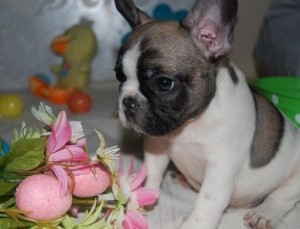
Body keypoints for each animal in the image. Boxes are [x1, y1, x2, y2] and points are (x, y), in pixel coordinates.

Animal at [113, 0, 300, 227]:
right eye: (120, 76)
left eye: (164, 83)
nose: (128, 102)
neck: (191, 124)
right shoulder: (157, 146)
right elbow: (152, 172)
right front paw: (140, 198)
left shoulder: (221, 166)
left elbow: (208, 200)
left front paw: (194, 224)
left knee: (282, 196)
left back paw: (264, 213)